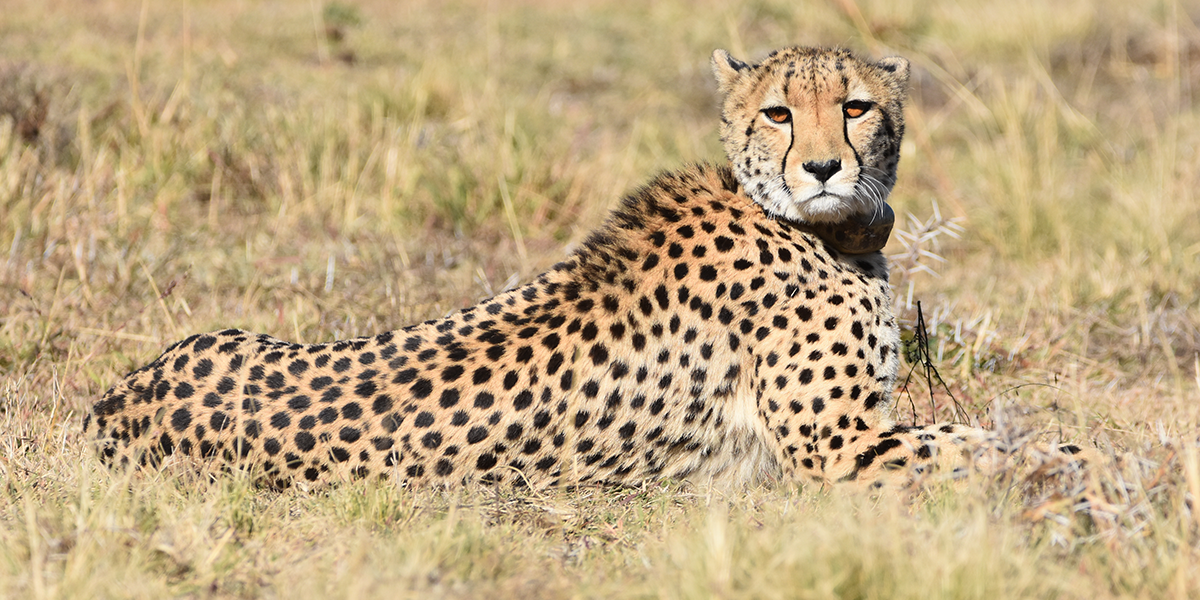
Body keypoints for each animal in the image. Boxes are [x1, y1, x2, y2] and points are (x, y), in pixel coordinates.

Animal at [85, 46, 1084, 491]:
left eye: (855, 106)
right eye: (776, 112)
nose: (823, 168)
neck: (820, 228)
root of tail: (115, 403)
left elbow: (985, 437)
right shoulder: (835, 449)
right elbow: (992, 445)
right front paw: (1088, 466)